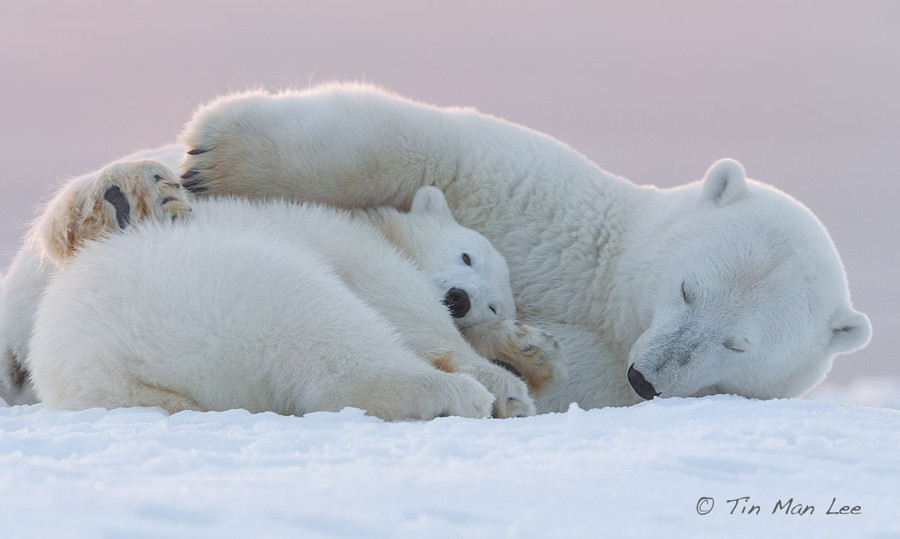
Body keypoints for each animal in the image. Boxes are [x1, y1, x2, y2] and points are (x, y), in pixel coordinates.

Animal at [12, 158, 564, 420]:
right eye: (466, 256)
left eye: (493, 304)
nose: (462, 299)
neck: (375, 225)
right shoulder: (352, 245)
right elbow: (403, 304)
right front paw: (506, 385)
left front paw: (524, 356)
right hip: (220, 285)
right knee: (327, 332)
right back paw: (456, 394)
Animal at [165, 85, 868, 414]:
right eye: (688, 288)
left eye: (738, 344)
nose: (645, 378)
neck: (610, 300)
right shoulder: (546, 204)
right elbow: (430, 145)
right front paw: (214, 159)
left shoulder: (604, 377)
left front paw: (518, 353)